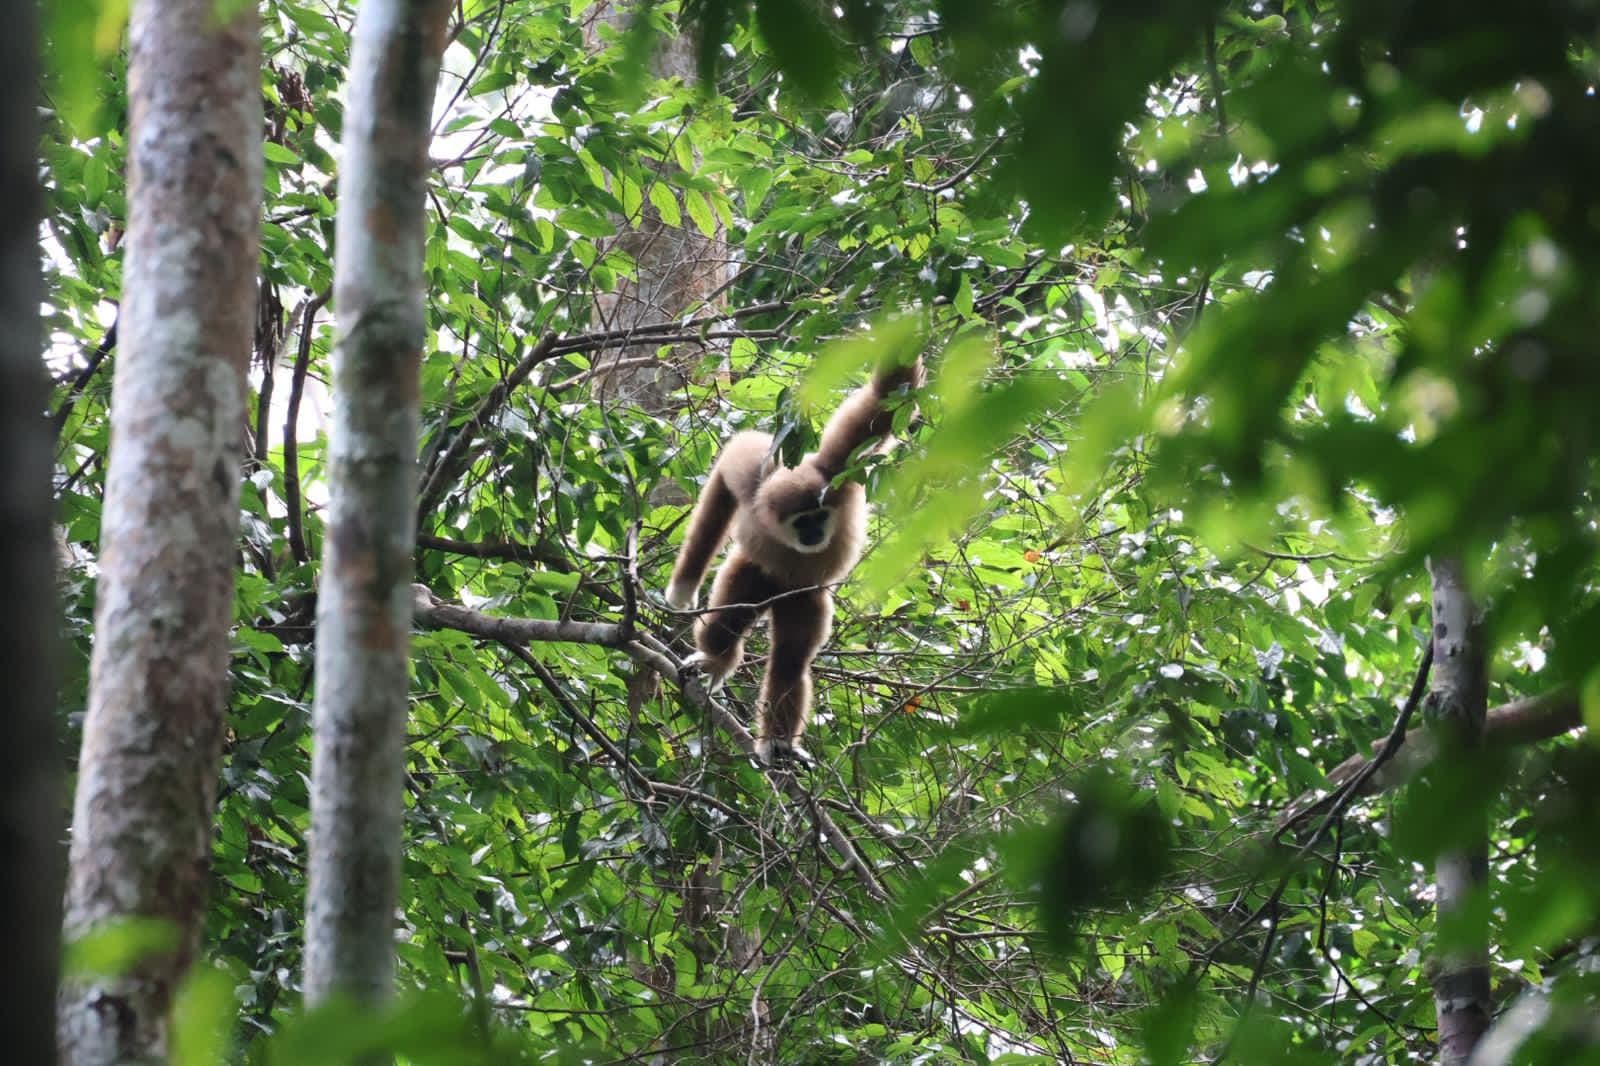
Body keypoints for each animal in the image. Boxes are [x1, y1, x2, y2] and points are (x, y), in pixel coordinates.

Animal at [665, 354, 925, 765]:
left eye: (820, 516)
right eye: (802, 521)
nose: (814, 533)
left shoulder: (837, 470)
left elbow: (884, 402)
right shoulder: (755, 486)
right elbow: (726, 473)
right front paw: (683, 588)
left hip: (802, 598)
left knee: (790, 659)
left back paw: (778, 741)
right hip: (753, 573)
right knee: (729, 620)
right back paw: (716, 659)